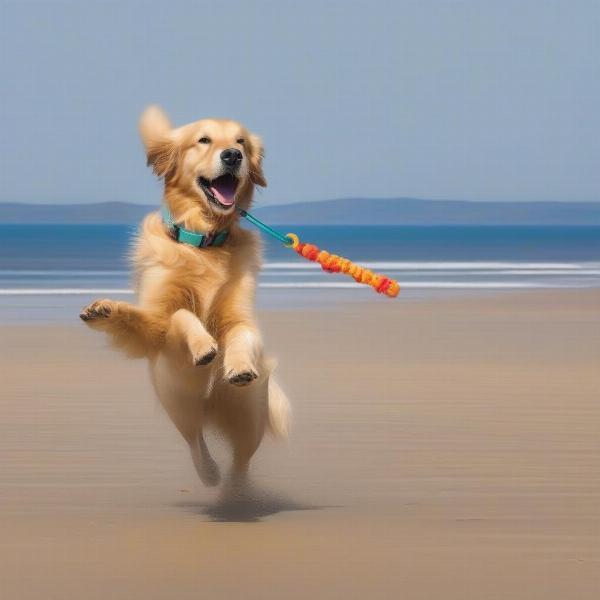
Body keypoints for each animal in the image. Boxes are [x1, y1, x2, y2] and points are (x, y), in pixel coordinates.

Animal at [79, 104, 290, 488]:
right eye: (203, 140)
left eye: (240, 141)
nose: (232, 155)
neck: (203, 242)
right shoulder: (157, 325)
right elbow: (179, 315)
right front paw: (204, 345)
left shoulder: (239, 316)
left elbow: (240, 334)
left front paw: (237, 365)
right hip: (179, 403)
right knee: (196, 443)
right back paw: (210, 474)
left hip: (248, 415)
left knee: (241, 460)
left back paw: (235, 489)